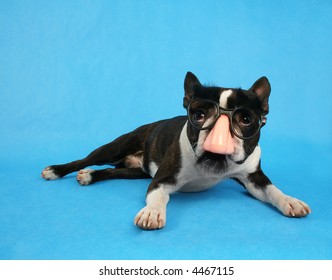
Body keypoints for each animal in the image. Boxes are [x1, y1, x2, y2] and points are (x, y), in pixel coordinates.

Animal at [41, 72, 312, 230]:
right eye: (198, 115)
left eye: (246, 119)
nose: (218, 138)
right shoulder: (162, 180)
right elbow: (160, 197)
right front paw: (152, 213)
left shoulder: (254, 178)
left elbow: (272, 190)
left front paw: (290, 201)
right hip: (115, 146)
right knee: (84, 160)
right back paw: (58, 170)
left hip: (137, 172)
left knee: (111, 172)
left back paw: (90, 175)